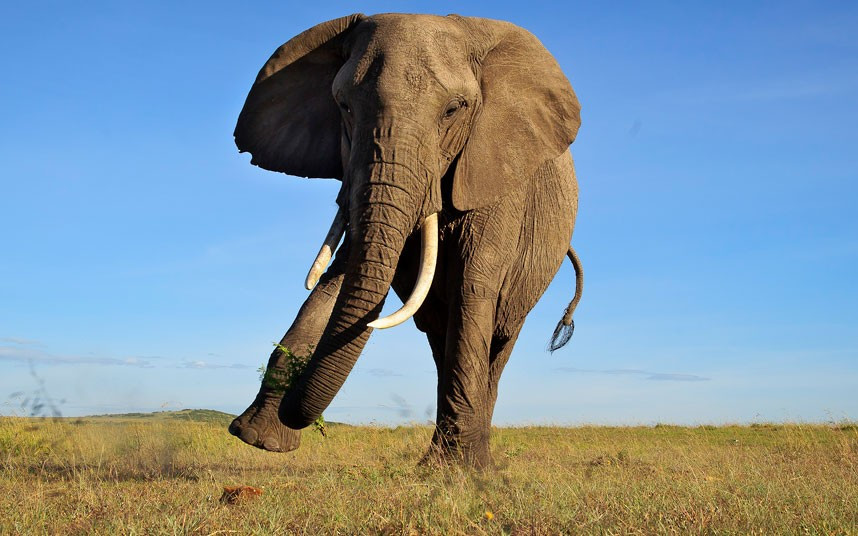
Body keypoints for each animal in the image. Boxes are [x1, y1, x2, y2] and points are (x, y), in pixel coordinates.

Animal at [228, 13, 584, 468]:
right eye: (343, 106)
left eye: (453, 109)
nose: (294, 405)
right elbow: (342, 273)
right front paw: (258, 438)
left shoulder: (499, 174)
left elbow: (473, 285)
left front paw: (456, 472)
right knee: (438, 336)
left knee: (497, 341)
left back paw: (474, 459)